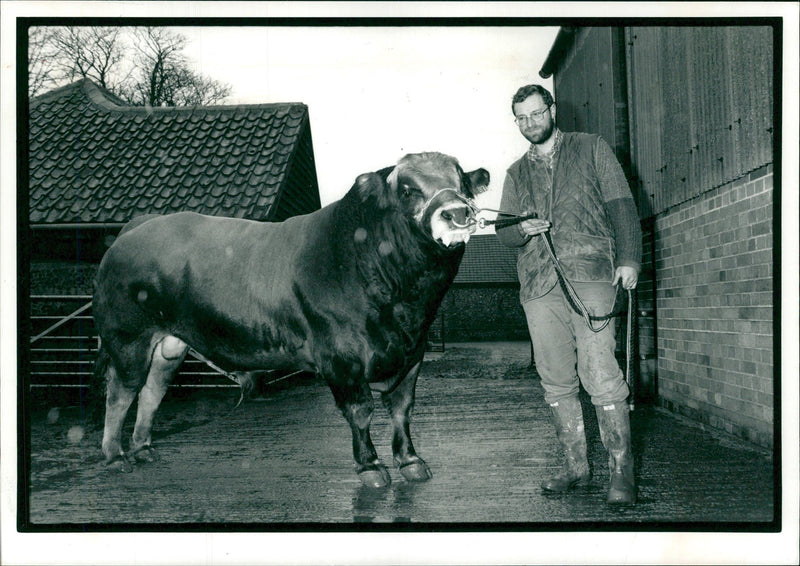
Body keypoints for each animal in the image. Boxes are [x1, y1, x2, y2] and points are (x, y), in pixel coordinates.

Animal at [89, 153, 488, 490]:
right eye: (407, 190)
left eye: (462, 182)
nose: (457, 213)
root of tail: (138, 227)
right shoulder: (341, 358)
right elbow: (361, 411)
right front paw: (371, 467)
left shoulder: (412, 353)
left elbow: (403, 409)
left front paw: (411, 461)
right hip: (128, 338)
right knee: (120, 391)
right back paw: (114, 456)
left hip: (169, 345)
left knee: (152, 389)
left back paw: (143, 448)